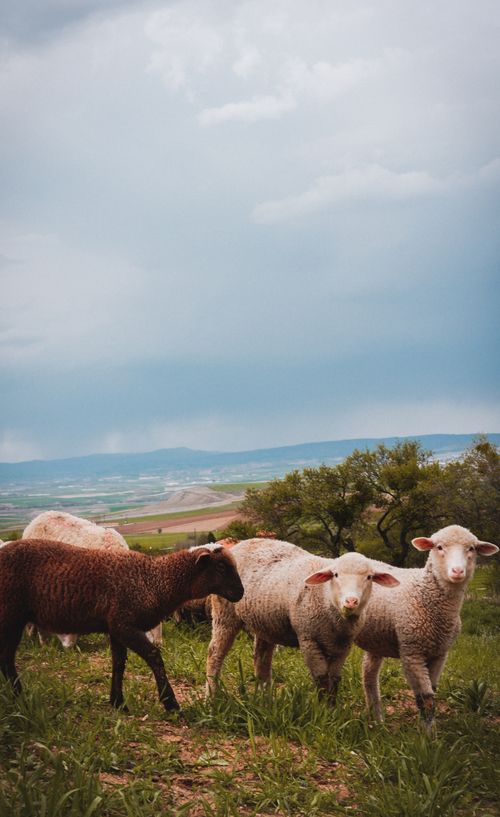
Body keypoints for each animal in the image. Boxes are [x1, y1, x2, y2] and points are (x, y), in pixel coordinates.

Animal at [0, 539, 244, 713]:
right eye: (221, 567)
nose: (241, 593)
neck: (154, 580)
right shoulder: (124, 625)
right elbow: (154, 656)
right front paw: (170, 703)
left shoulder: (115, 629)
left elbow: (119, 664)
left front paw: (118, 703)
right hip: (10, 616)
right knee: (7, 659)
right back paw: (20, 697)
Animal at [206, 538, 399, 702]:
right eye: (336, 575)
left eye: (369, 577)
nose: (351, 601)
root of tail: (242, 543)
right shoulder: (308, 638)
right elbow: (321, 679)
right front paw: (323, 711)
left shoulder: (343, 645)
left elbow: (335, 678)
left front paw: (333, 708)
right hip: (225, 614)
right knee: (214, 654)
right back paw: (212, 697)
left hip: (265, 622)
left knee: (261, 658)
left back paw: (266, 700)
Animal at [355, 525, 499, 727]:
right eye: (439, 547)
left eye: (471, 548)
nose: (457, 571)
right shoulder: (412, 652)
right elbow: (426, 699)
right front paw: (426, 735)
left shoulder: (440, 653)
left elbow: (432, 693)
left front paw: (430, 729)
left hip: (376, 638)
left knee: (368, 674)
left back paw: (377, 719)